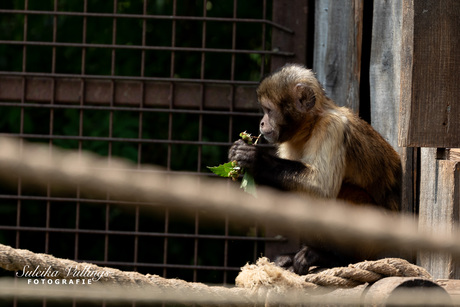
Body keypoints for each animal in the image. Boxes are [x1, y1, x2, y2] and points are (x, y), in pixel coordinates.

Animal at [228, 63, 400, 276]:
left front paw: (256, 159)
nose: (261, 122)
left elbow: (321, 186)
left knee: (343, 194)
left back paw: (333, 258)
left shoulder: (332, 127)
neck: (311, 125)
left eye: (268, 110)